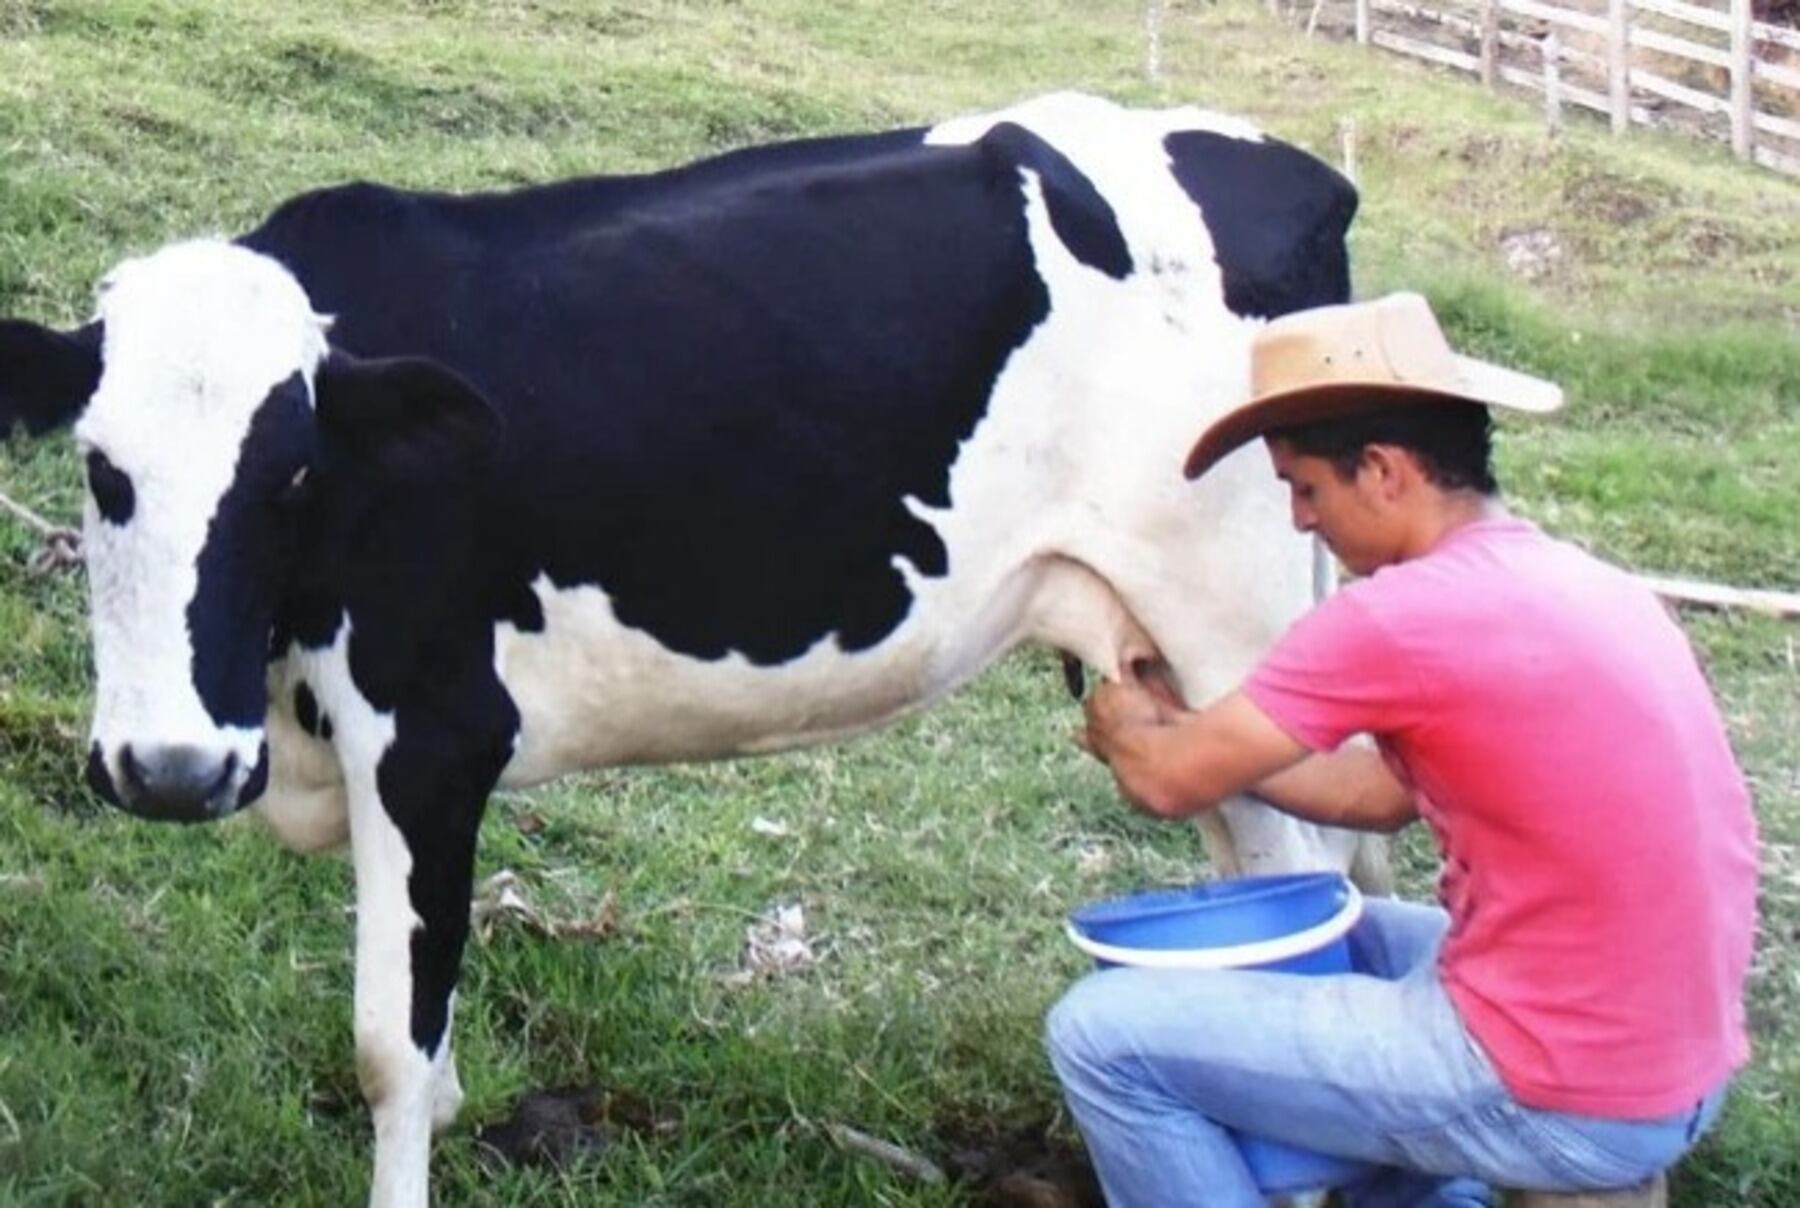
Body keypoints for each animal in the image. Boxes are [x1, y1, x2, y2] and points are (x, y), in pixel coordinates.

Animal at [0, 92, 1381, 1206]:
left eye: (292, 473)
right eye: (100, 467)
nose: (171, 770)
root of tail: (1292, 167)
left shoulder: (434, 734)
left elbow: (389, 1045)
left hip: (1232, 620)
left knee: (1319, 904)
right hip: (1172, 658)